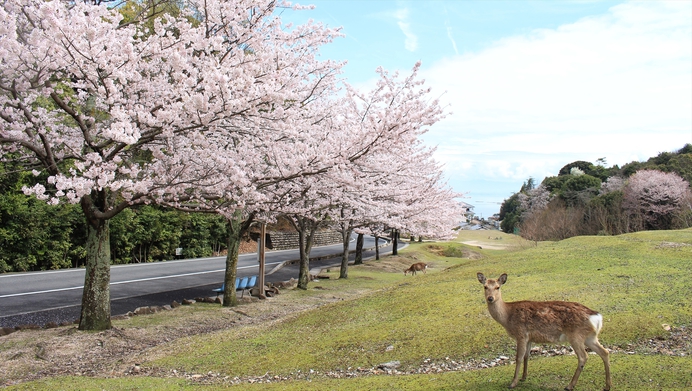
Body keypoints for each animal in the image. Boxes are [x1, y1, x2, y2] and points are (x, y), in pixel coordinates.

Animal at [476, 274, 612, 390]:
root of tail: (596, 317)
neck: (507, 317)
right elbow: (527, 356)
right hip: (590, 337)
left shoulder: (521, 334)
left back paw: (570, 386)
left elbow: (518, 357)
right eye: (485, 286)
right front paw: (524, 377)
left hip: (576, 335)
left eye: (497, 287)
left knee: (583, 357)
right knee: (604, 352)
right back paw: (607, 386)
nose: (490, 298)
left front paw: (513, 383)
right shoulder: (529, 338)